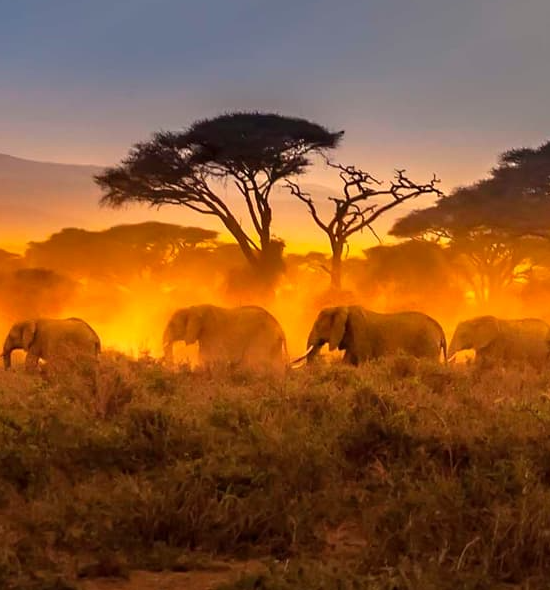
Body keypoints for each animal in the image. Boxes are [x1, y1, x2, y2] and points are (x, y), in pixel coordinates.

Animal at [302, 308, 448, 368]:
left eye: (317, 326)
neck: (340, 307)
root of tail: (439, 328)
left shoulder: (360, 334)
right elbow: (347, 362)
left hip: (428, 345)